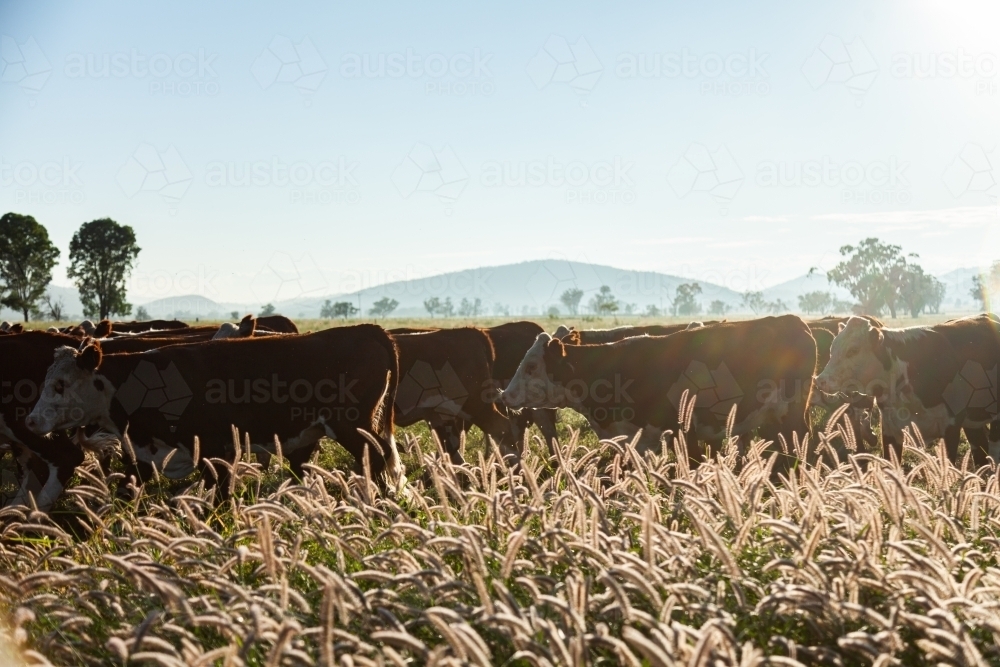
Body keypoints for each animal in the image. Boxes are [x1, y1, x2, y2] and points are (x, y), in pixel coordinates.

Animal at [25, 326, 404, 494]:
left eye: (61, 385)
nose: (31, 421)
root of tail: (367, 329)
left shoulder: (214, 448)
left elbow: (218, 493)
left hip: (351, 424)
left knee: (376, 457)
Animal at [504, 316, 816, 468]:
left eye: (531, 366)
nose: (504, 395)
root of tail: (793, 321)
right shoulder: (636, 440)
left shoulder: (678, 430)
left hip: (793, 413)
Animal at [812, 314, 1000, 464]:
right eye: (832, 349)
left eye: (853, 350)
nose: (820, 380)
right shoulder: (890, 428)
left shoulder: (951, 425)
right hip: (973, 421)